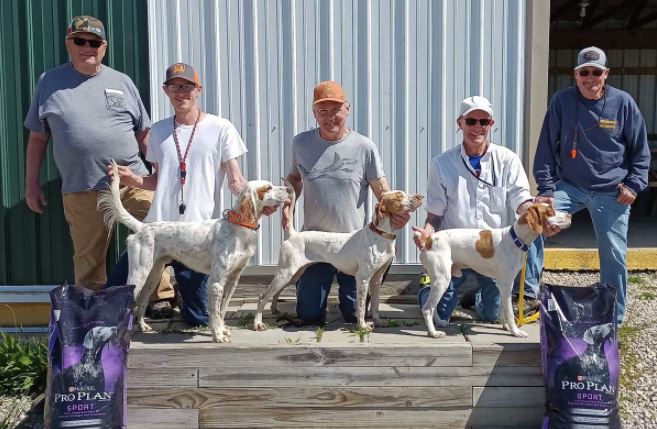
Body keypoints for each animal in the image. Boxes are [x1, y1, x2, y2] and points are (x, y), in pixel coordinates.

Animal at [98, 162, 290, 342]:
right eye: (268, 187)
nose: (289, 189)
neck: (238, 227)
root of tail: (142, 227)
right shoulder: (216, 281)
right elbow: (214, 313)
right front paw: (217, 335)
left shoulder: (233, 280)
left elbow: (222, 310)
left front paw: (223, 330)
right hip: (138, 273)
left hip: (153, 274)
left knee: (143, 300)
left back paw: (143, 326)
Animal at [251, 190, 426, 332]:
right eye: (399, 196)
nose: (420, 196)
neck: (381, 235)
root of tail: (293, 235)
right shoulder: (363, 278)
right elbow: (361, 306)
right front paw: (362, 326)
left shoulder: (377, 279)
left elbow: (375, 304)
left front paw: (378, 321)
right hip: (285, 273)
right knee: (262, 296)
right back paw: (258, 323)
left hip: (292, 274)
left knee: (274, 294)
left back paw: (275, 311)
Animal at [416, 201, 568, 338]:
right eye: (550, 212)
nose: (569, 215)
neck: (515, 239)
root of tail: (429, 240)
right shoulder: (506, 283)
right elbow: (510, 312)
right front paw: (515, 331)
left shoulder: (503, 284)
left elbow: (503, 308)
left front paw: (506, 327)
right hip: (442, 281)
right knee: (427, 309)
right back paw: (433, 333)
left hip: (442, 281)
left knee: (433, 305)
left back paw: (440, 322)